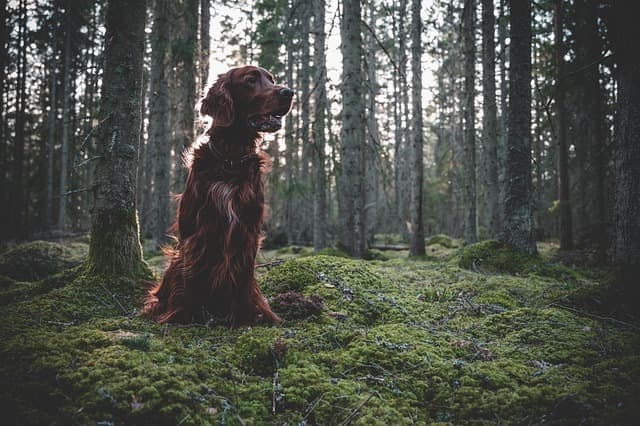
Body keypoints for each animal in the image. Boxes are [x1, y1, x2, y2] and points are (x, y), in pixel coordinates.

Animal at [141, 66, 294, 326]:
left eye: (271, 79)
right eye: (251, 80)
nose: (289, 92)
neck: (230, 159)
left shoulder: (249, 231)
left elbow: (244, 280)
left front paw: (243, 319)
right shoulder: (195, 235)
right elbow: (191, 278)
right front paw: (187, 317)